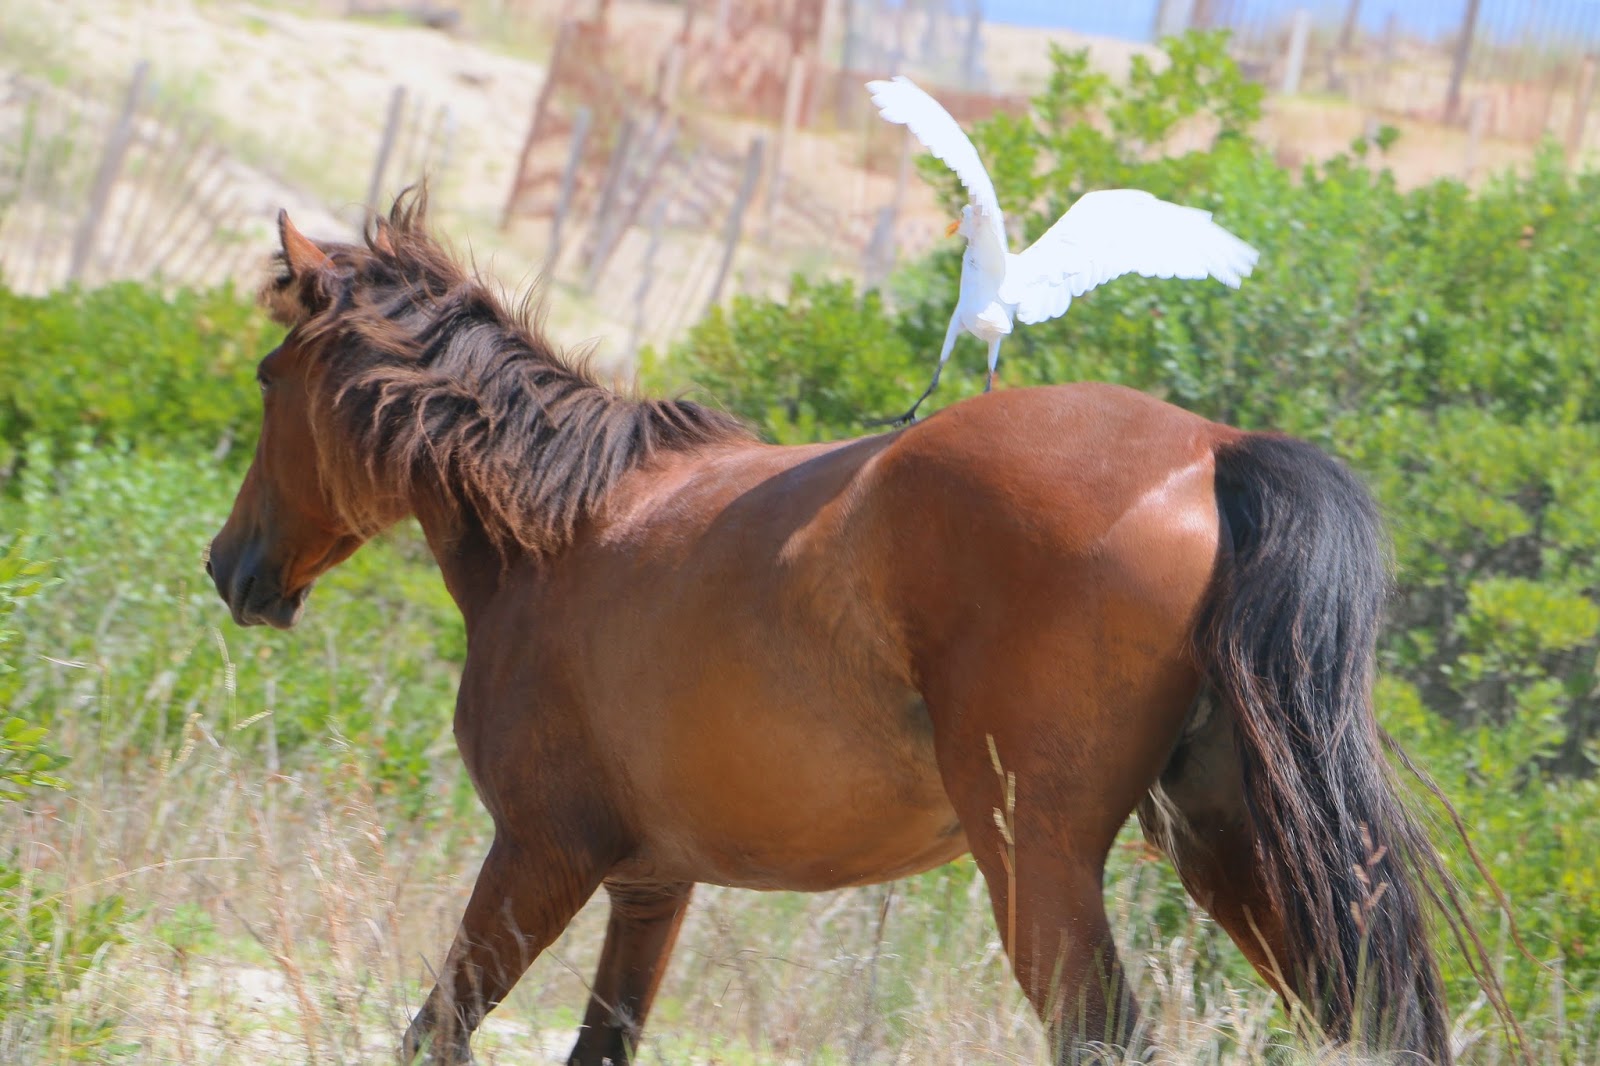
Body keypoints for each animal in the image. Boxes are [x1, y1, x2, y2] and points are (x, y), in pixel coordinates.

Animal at [206, 192, 1467, 1065]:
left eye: (268, 374)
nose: (231, 568)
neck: (567, 531)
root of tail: (1212, 447)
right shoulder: (651, 885)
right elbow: (598, 1043)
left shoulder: (537, 854)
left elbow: (437, 1029)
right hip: (1240, 846)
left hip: (1044, 870)